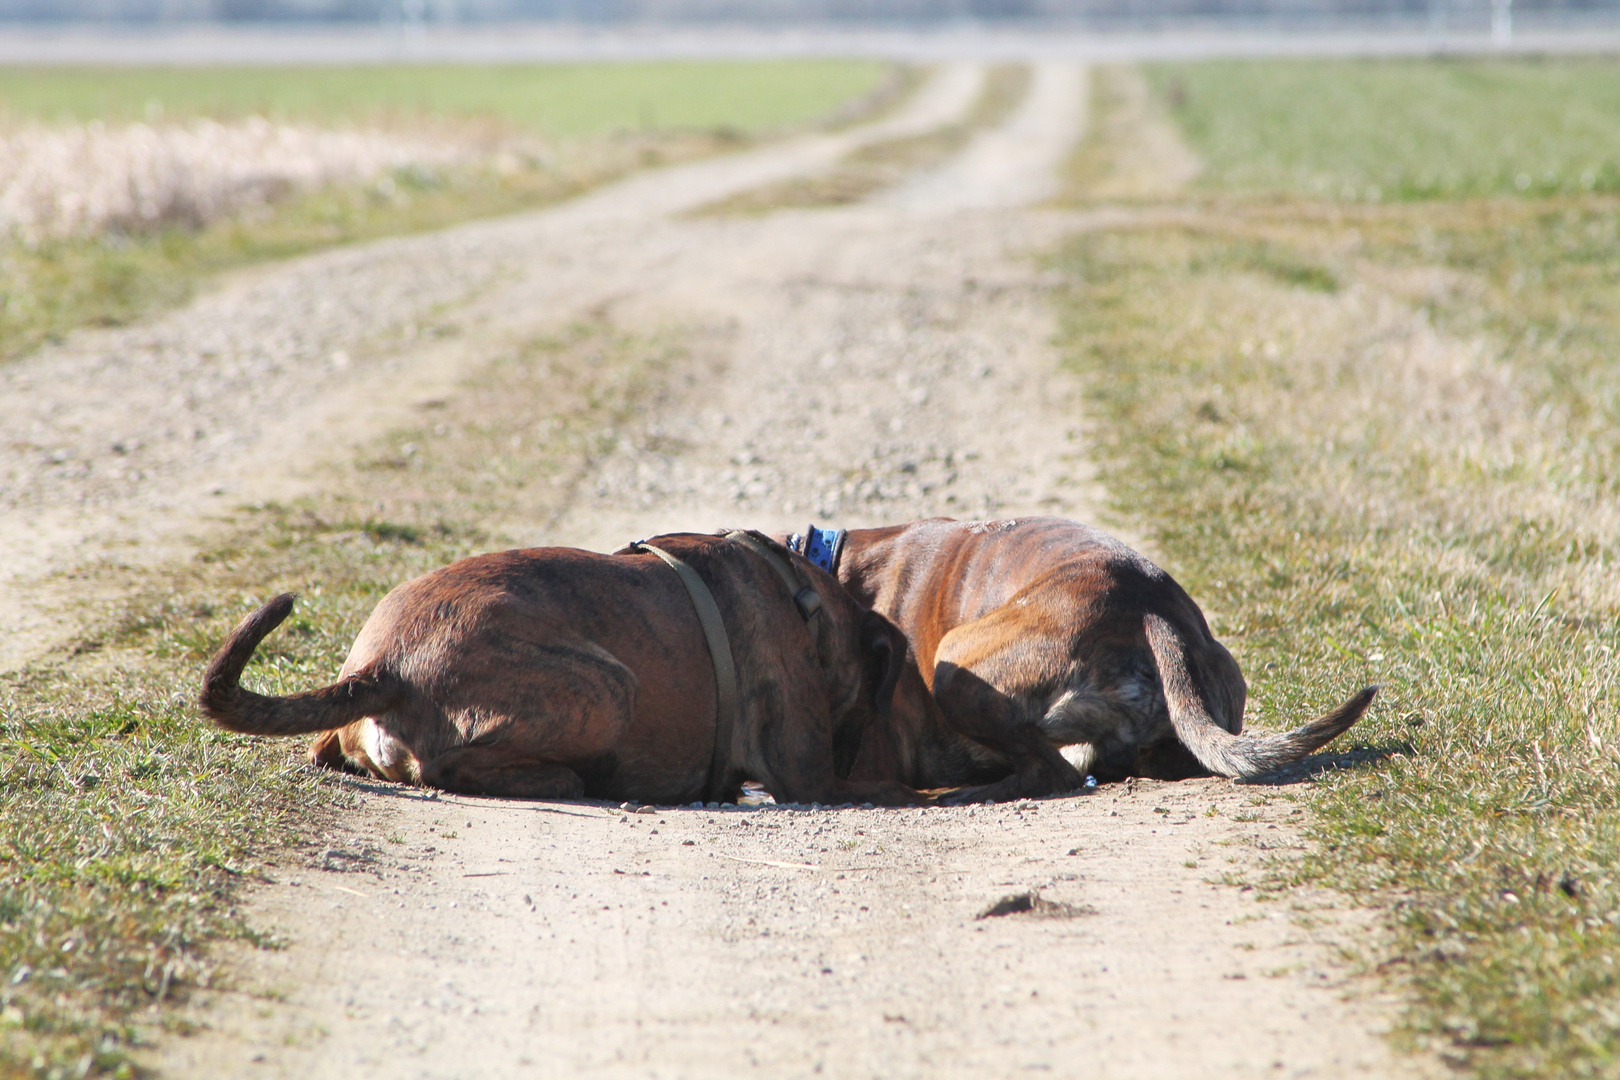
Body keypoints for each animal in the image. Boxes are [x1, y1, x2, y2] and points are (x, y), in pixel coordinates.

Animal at [199, 531, 939, 809]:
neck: (802, 596)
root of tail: (384, 665)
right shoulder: (812, 776)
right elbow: (898, 788)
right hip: (609, 687)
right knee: (455, 767)